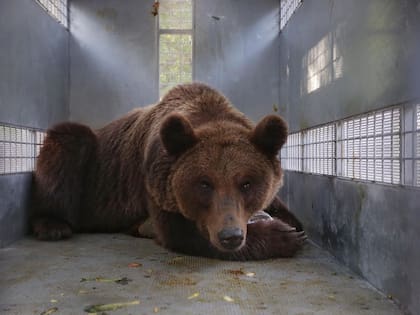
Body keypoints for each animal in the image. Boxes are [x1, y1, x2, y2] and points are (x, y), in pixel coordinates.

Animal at [30, 82, 306, 260]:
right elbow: (182, 233)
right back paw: (53, 225)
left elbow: (282, 208)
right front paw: (283, 235)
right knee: (69, 142)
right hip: (93, 170)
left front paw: (292, 226)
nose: (231, 236)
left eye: (247, 183)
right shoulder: (155, 180)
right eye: (204, 183)